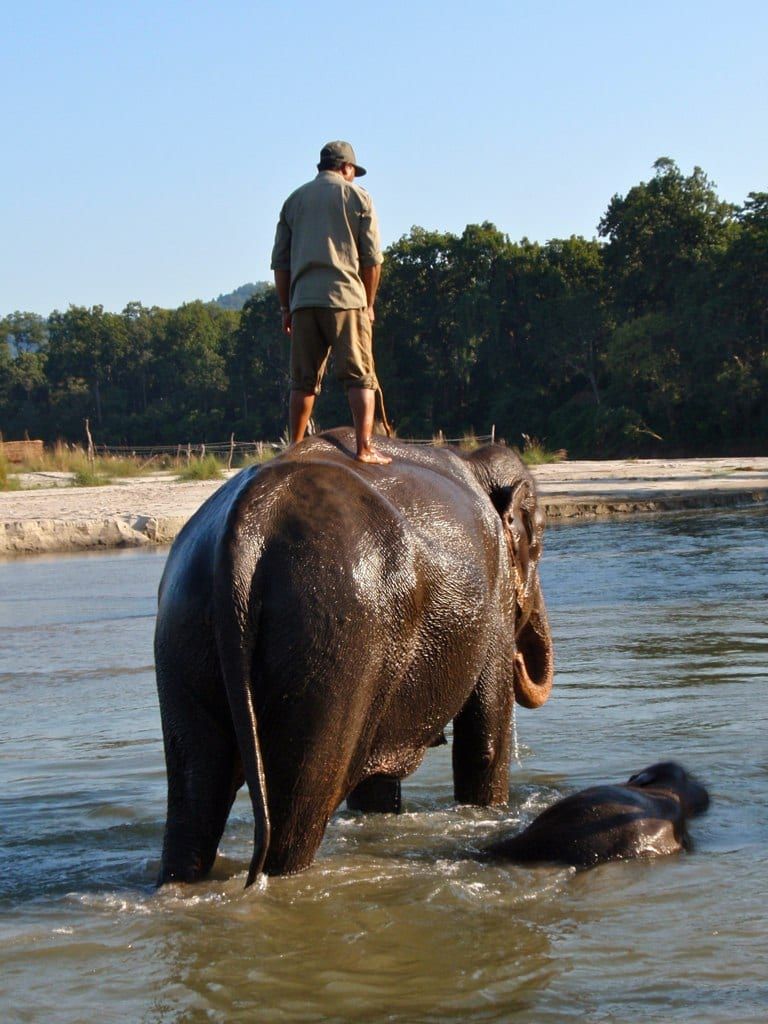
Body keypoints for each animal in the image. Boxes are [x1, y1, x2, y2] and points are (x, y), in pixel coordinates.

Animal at [154, 427, 554, 886]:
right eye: (539, 541)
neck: (474, 464)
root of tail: (247, 528)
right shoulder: (495, 604)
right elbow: (484, 739)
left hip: (184, 627)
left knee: (194, 790)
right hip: (337, 636)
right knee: (300, 805)